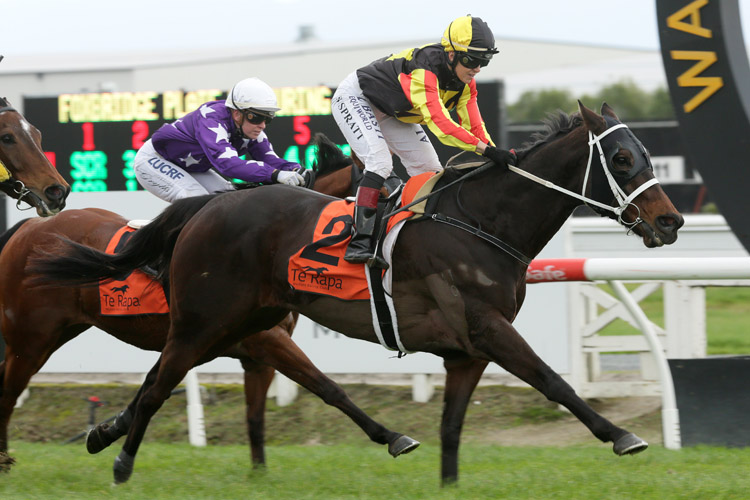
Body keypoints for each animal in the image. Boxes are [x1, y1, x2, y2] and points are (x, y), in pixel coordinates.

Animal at [30, 101, 688, 484]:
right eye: (622, 158)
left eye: (646, 154)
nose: (671, 221)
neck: (481, 221)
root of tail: (206, 208)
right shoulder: (489, 329)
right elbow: (554, 381)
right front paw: (622, 436)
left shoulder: (467, 351)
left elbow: (452, 429)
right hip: (203, 323)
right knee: (159, 385)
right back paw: (122, 462)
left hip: (243, 323)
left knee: (156, 380)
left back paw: (105, 436)